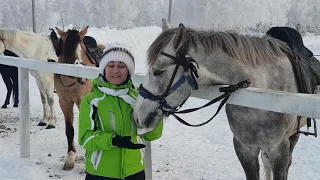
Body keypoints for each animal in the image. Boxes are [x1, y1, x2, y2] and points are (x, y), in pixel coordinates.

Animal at [54, 26, 97, 170]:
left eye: (82, 48)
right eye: (66, 50)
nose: (82, 79)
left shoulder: (81, 101)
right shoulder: (64, 102)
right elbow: (70, 130)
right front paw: (70, 157)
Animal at [133, 23, 308, 179]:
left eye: (158, 72)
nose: (137, 115)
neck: (262, 95)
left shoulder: (279, 151)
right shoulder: (244, 148)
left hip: (293, 137)